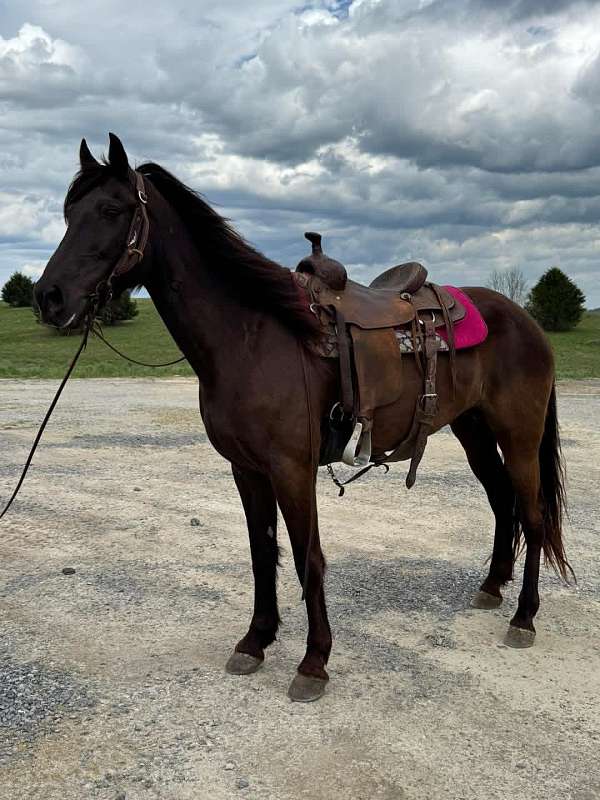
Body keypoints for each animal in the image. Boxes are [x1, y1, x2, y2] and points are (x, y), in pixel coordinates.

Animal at [34, 133, 570, 702]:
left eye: (111, 210)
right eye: (70, 212)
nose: (49, 296)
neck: (251, 338)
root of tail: (525, 321)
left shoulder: (291, 469)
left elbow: (306, 557)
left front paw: (314, 662)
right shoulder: (246, 470)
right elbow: (262, 552)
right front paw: (255, 640)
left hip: (519, 436)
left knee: (533, 514)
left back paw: (524, 617)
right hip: (473, 432)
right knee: (502, 502)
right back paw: (492, 588)